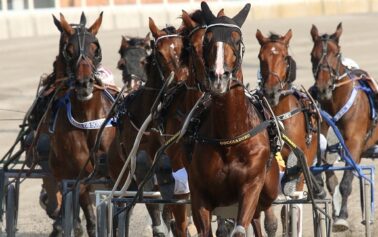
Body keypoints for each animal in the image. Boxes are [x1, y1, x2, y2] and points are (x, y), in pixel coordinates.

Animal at [42, 12, 115, 237]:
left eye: (96, 49)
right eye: (68, 51)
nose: (84, 83)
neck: (87, 117)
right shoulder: (77, 174)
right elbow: (87, 213)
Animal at [106, 17, 189, 236]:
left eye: (183, 48)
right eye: (159, 53)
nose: (179, 80)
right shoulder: (138, 159)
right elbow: (150, 196)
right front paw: (159, 228)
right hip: (119, 171)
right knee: (123, 206)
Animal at [180, 2, 280, 236]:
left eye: (236, 39)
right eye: (207, 40)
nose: (219, 77)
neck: (229, 137)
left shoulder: (252, 184)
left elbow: (241, 227)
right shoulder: (199, 192)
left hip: (269, 186)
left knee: (261, 212)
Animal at [310, 22, 378, 231]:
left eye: (336, 53)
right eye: (313, 54)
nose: (322, 88)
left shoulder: (355, 142)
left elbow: (347, 181)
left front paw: (342, 217)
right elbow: (326, 172)